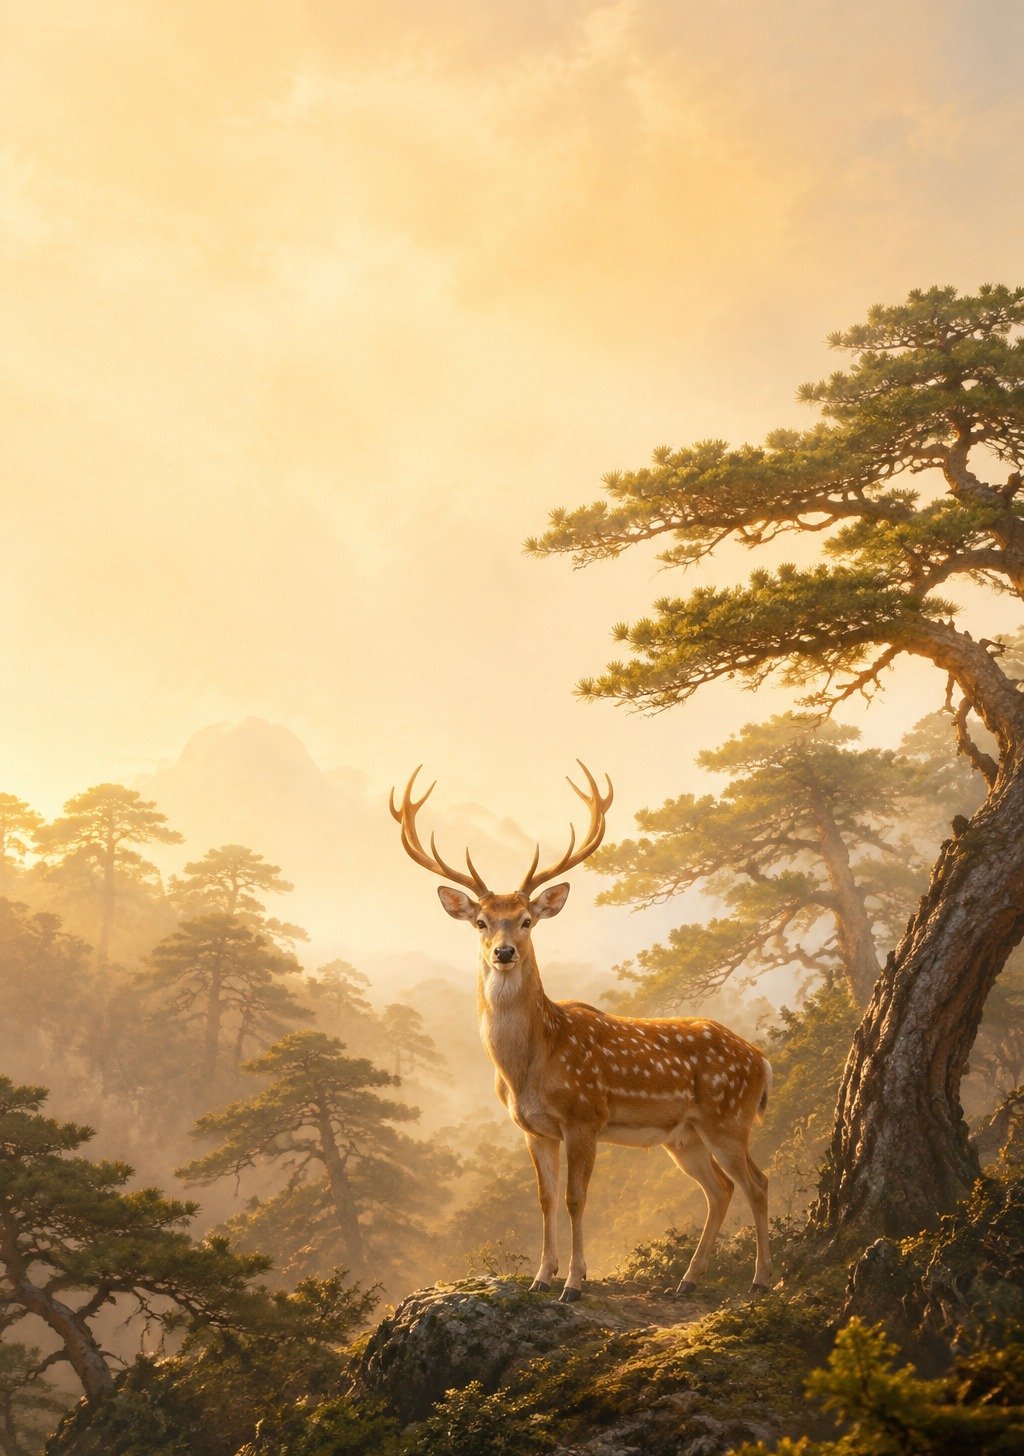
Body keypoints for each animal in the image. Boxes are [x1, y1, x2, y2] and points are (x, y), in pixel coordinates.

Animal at [390, 763, 773, 1303]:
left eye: (527, 920)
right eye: (481, 922)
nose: (503, 952)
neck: (529, 1066)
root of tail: (762, 1059)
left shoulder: (584, 1115)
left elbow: (575, 1198)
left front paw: (574, 1282)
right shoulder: (533, 1128)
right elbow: (545, 1198)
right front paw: (541, 1276)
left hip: (728, 1117)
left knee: (757, 1182)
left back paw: (760, 1279)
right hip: (685, 1135)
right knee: (719, 1189)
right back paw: (687, 1279)